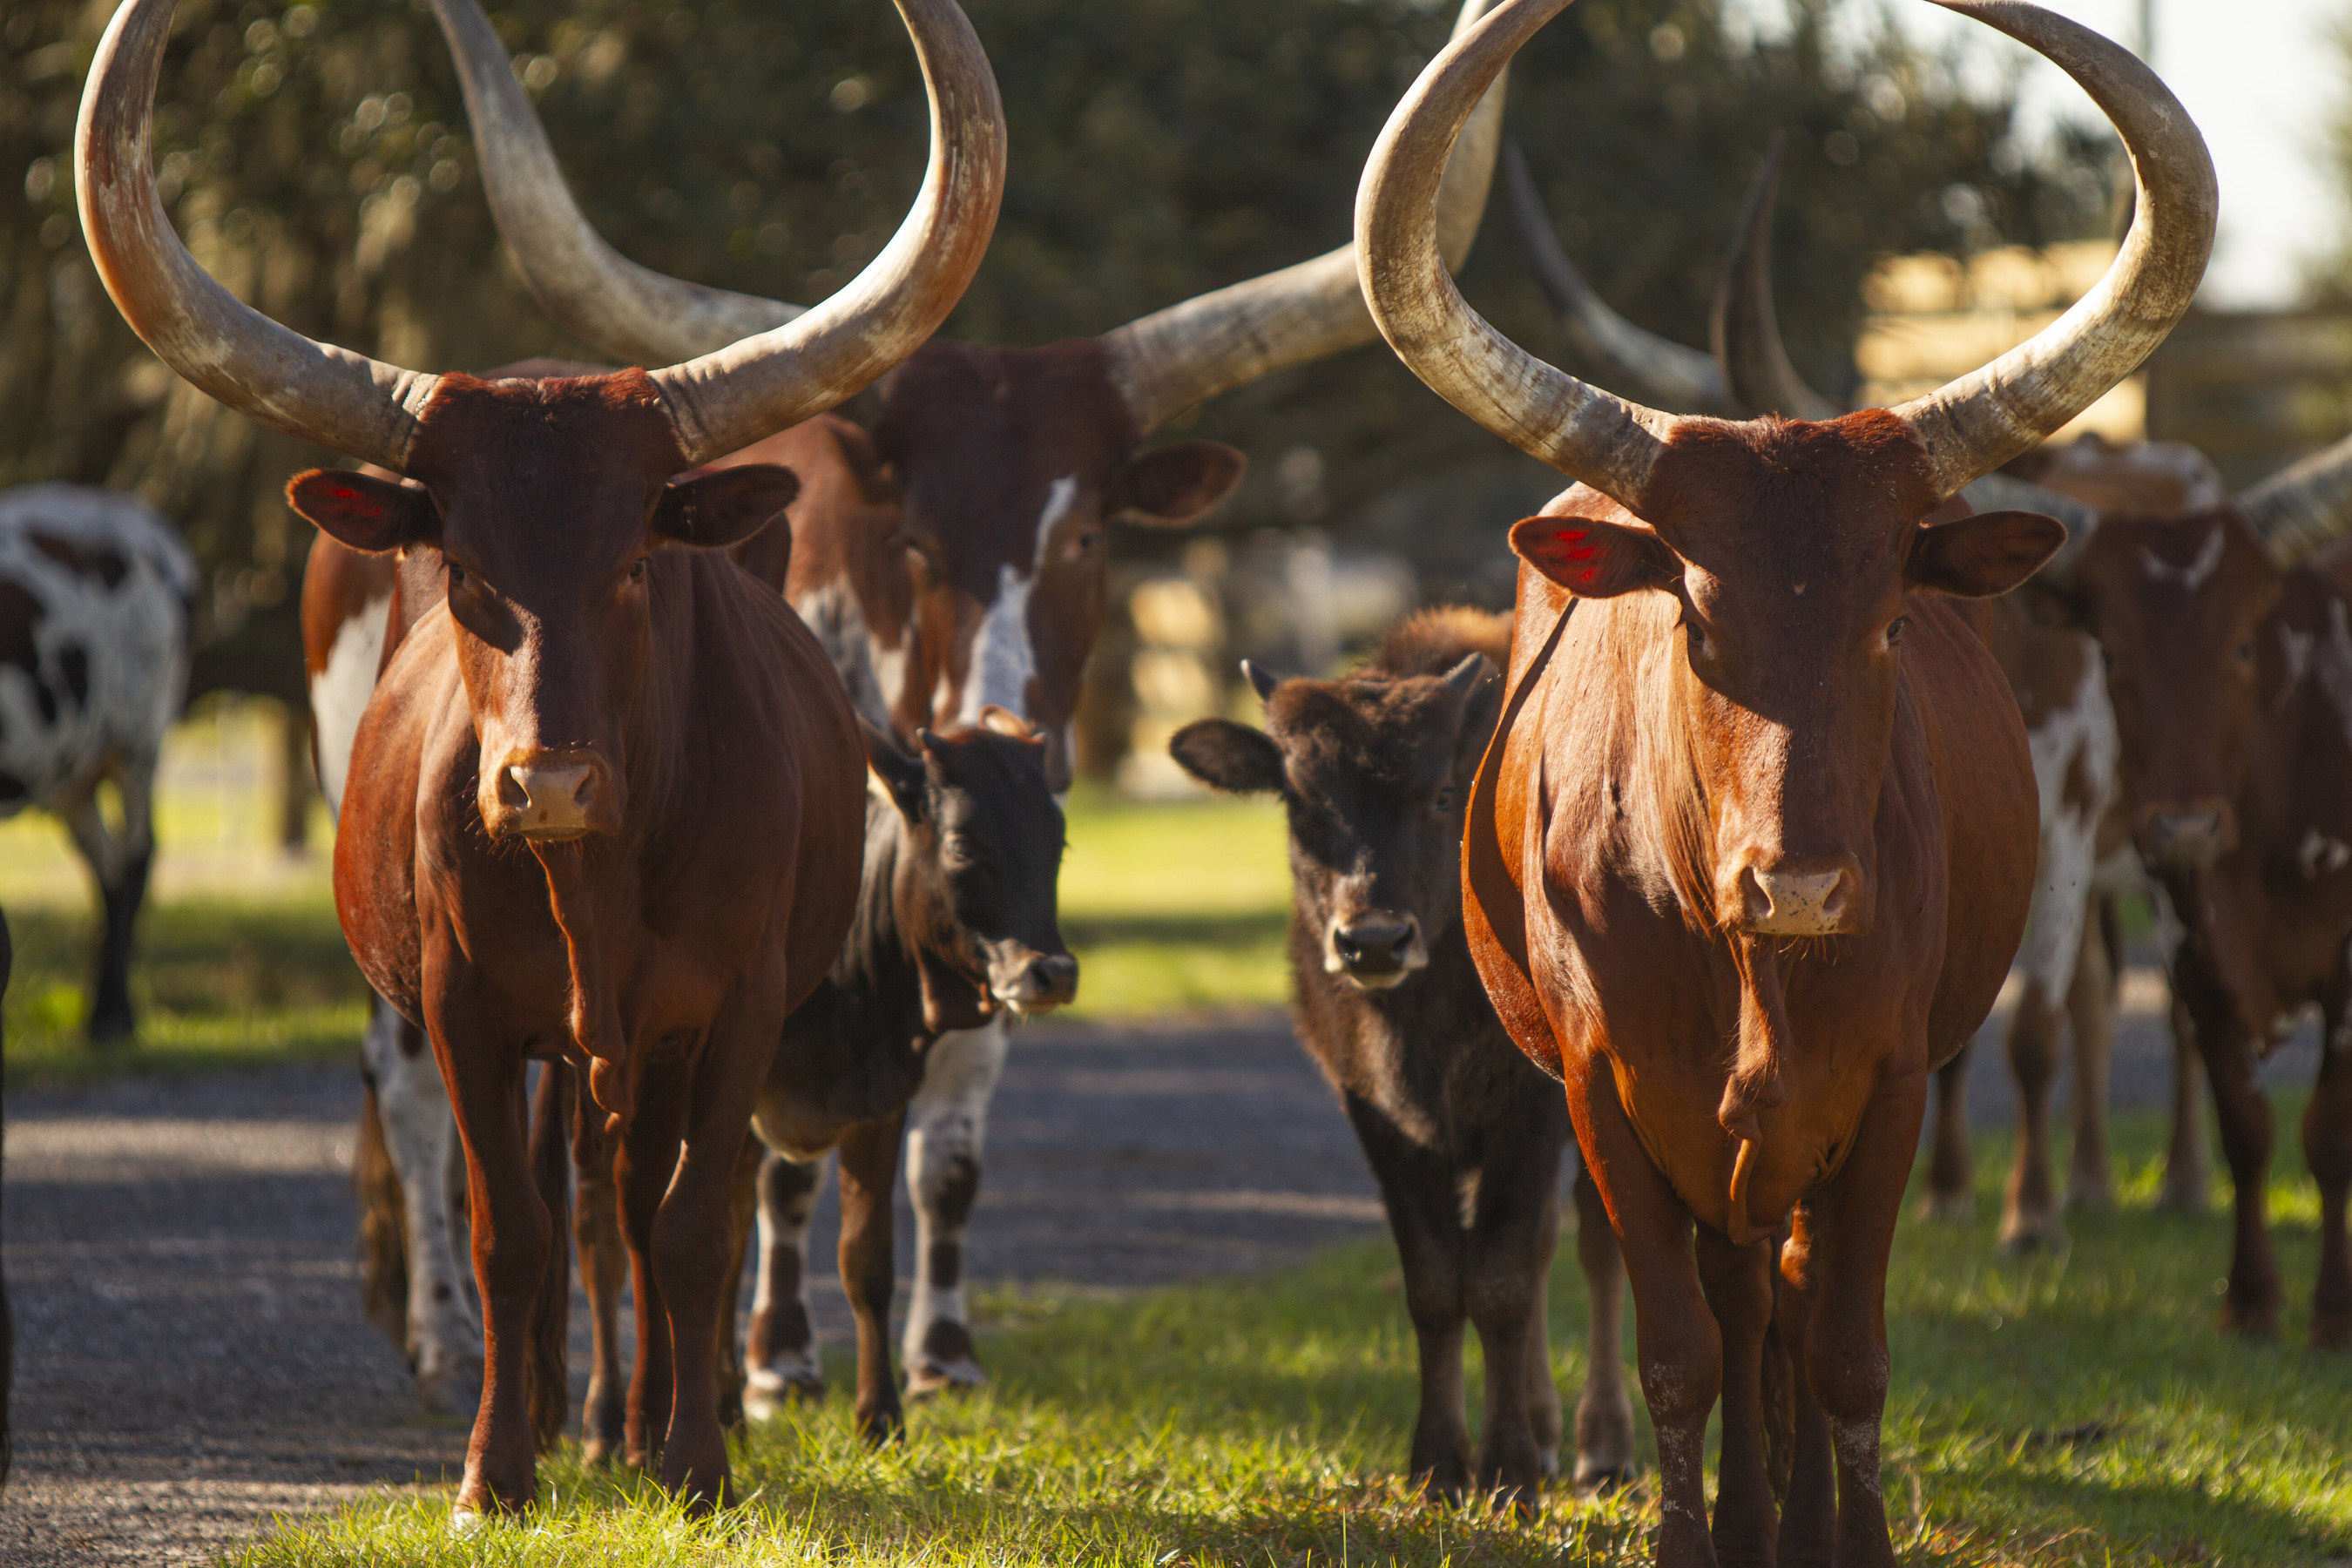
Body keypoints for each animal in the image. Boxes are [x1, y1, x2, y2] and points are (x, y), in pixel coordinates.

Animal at [73, 0, 1006, 1523]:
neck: (598, 880)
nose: (546, 786)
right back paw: (577, 1418)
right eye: (460, 565)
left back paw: (633, 1423)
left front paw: (693, 1464)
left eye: (637, 559)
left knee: (626, 1198)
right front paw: (495, 1472)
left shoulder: (737, 1007)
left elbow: (688, 1225)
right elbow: (508, 1229)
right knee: (564, 1200)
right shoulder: (465, 1009)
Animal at [425, 0, 1514, 1401]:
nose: (1003, 720)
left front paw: (940, 1352)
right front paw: (775, 1360)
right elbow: (768, 1156)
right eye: (913, 538)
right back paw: (455, 1325)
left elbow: (947, 1140)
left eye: (1089, 537)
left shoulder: (988, 899)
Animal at [1166, 606, 1627, 1504]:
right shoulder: (1381, 1116)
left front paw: (1509, 1470)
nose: (1373, 940)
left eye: (1443, 793)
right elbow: (1437, 1282)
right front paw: (1441, 1464)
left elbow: (1501, 1280)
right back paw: (1551, 1431)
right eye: (1300, 801)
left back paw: (1602, 1448)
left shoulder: (1530, 1113)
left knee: (1597, 1249)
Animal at [1364, 6, 2201, 1560]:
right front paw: (1696, 1534)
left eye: (1891, 621)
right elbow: (1682, 1351)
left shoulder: (1887, 1085)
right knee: (1741, 1303)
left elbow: (1848, 1350)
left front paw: (1844, 1535)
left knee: (1794, 1309)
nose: (1799, 886)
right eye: (1695, 617)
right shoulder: (1602, 1092)